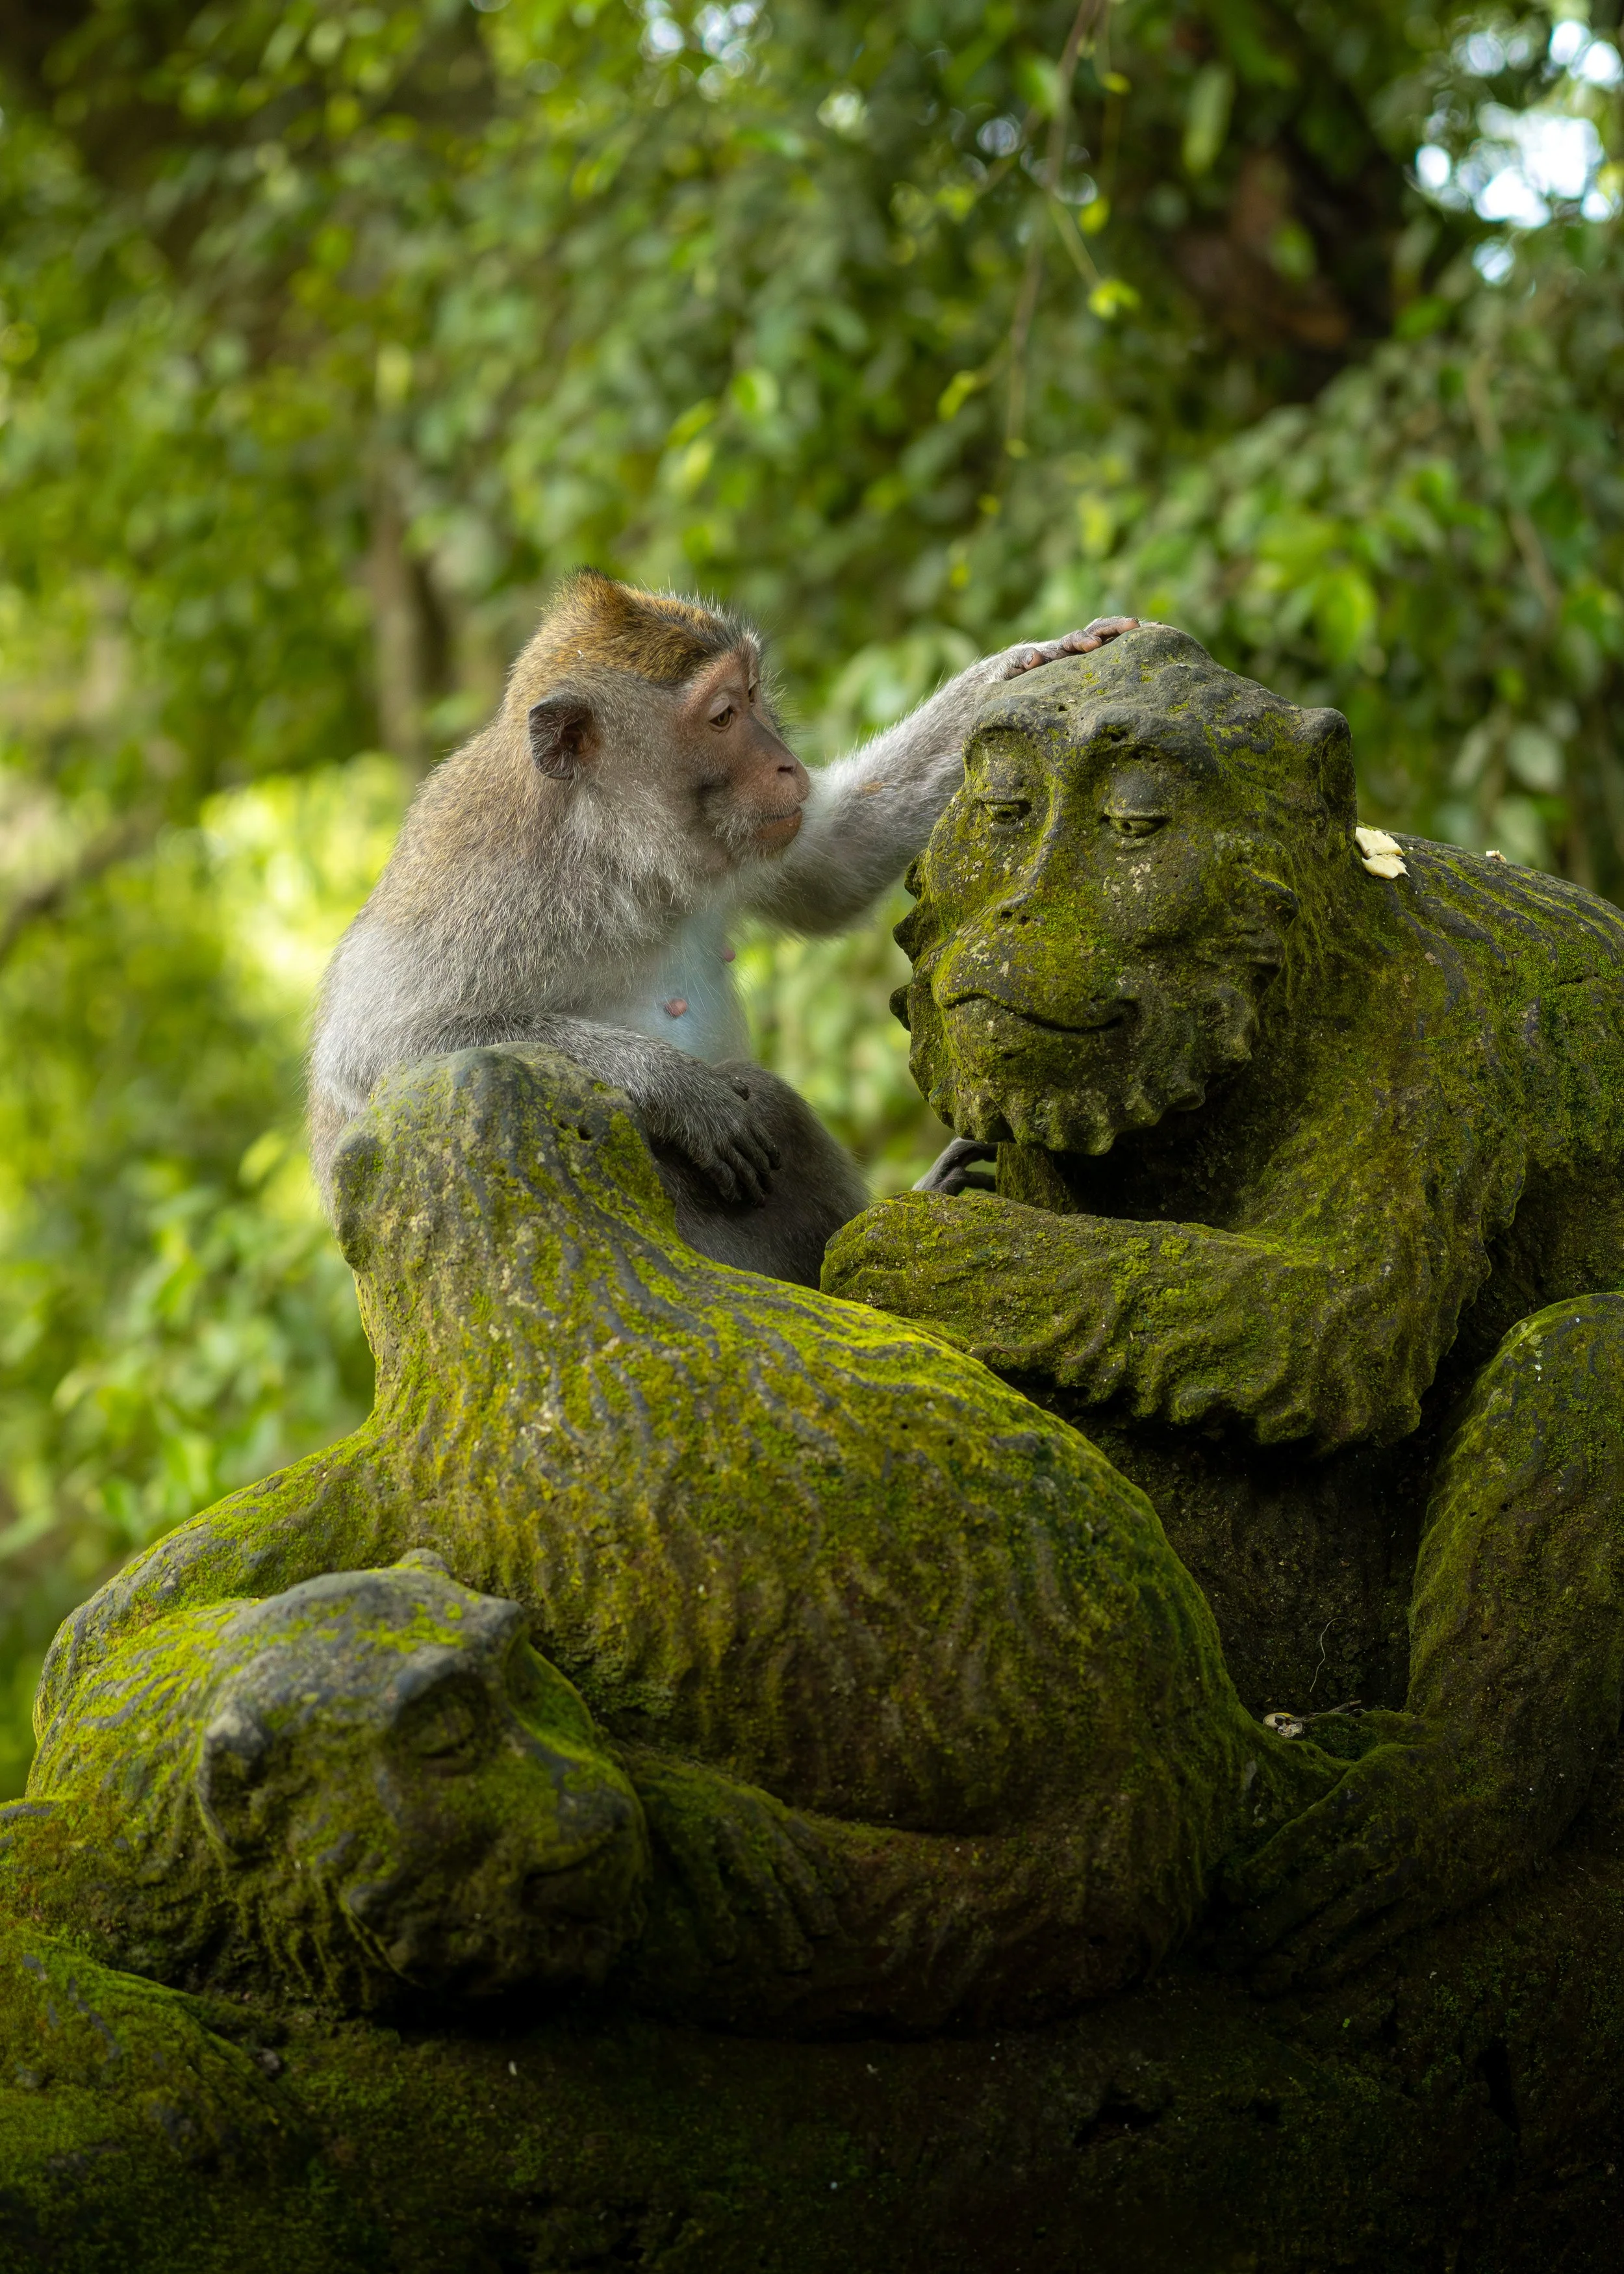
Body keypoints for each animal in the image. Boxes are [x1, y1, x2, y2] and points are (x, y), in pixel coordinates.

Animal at [309, 570, 1136, 1284]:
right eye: (722, 716)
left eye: (753, 693)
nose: (788, 765)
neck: (612, 853)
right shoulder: (484, 884)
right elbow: (376, 1049)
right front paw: (674, 1086)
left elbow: (835, 861)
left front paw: (1025, 662)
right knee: (751, 1096)